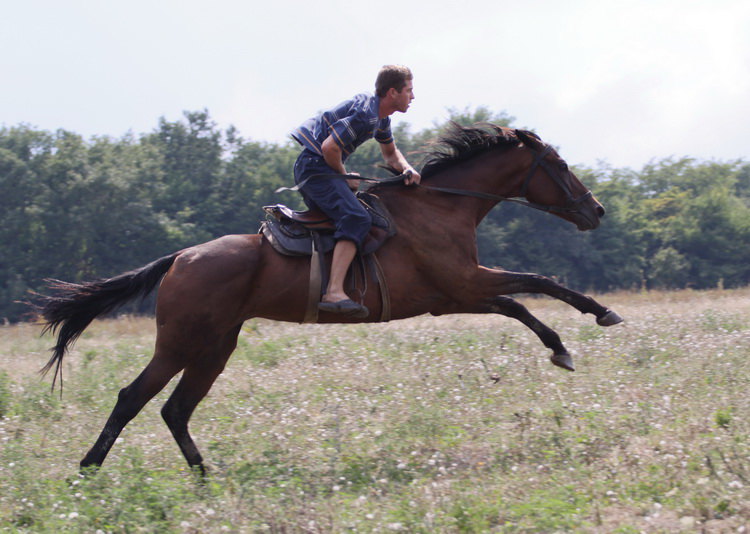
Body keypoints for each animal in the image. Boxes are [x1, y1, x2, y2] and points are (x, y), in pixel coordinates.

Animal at [33, 123, 624, 476]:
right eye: (559, 164)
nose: (595, 210)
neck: (440, 205)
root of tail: (180, 257)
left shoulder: (456, 293)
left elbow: (522, 303)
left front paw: (561, 345)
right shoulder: (467, 283)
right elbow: (539, 283)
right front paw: (595, 317)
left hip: (216, 347)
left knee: (175, 409)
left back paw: (206, 481)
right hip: (180, 342)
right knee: (132, 397)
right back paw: (88, 470)